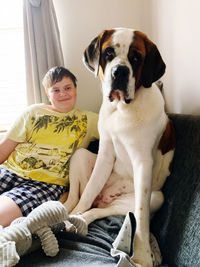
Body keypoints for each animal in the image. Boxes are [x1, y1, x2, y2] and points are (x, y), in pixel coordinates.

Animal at [63, 27, 175, 267]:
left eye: (136, 57)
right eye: (108, 53)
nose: (120, 72)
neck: (123, 109)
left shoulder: (143, 164)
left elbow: (141, 217)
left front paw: (143, 254)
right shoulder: (104, 153)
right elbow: (88, 192)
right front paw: (72, 214)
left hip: (155, 198)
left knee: (100, 211)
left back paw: (79, 219)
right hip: (80, 156)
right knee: (79, 197)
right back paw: (68, 213)